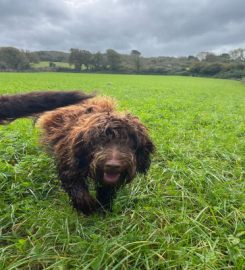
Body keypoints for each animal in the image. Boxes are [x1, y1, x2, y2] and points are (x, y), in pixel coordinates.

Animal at [0, 90, 155, 215]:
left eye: (131, 143)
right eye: (99, 141)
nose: (113, 165)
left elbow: (106, 192)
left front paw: (104, 209)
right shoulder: (69, 163)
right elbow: (75, 187)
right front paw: (87, 206)